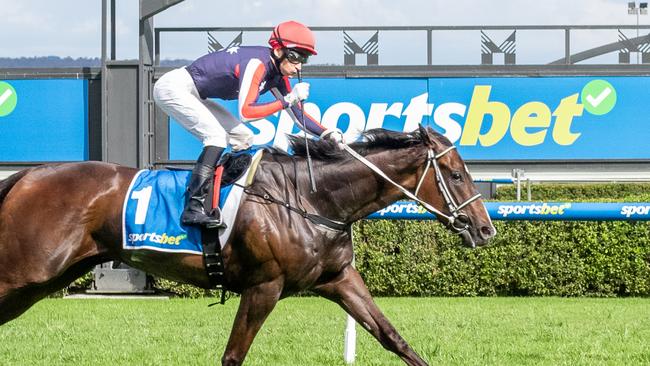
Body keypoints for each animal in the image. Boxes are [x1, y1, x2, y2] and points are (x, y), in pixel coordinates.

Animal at [0, 125, 492, 364]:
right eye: (455, 174)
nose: (487, 229)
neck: (310, 199)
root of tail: (26, 175)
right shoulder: (263, 287)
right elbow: (233, 354)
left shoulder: (338, 279)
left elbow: (392, 336)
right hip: (25, 272)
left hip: (45, 279)